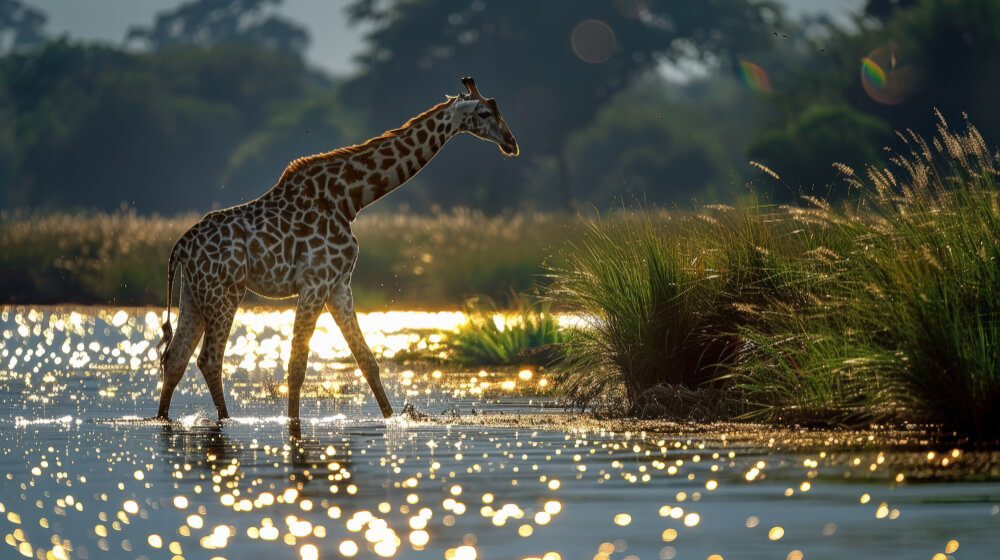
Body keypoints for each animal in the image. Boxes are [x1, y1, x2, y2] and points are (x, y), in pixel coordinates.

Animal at [154, 77, 519, 421]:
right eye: (484, 113)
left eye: (497, 108)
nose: (511, 143)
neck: (351, 198)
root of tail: (180, 246)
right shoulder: (316, 281)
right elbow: (297, 364)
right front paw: (292, 425)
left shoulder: (339, 285)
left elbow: (367, 360)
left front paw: (392, 418)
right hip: (225, 292)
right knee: (208, 359)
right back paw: (225, 421)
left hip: (194, 294)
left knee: (175, 357)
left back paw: (162, 419)